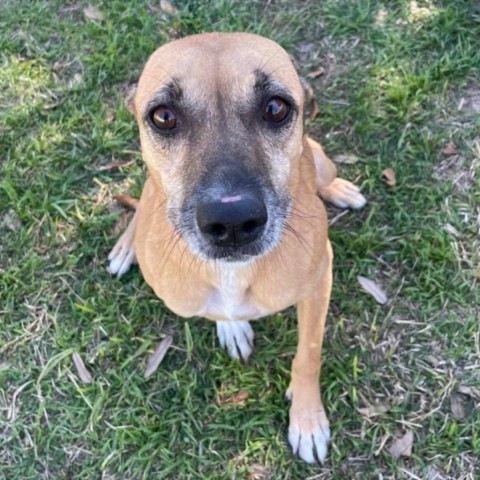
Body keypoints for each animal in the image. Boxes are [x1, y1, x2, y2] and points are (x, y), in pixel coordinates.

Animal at [108, 31, 364, 464]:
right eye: (163, 116)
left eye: (276, 108)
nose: (231, 223)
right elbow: (220, 311)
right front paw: (233, 327)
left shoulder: (318, 283)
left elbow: (308, 355)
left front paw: (307, 420)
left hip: (320, 160)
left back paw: (340, 189)